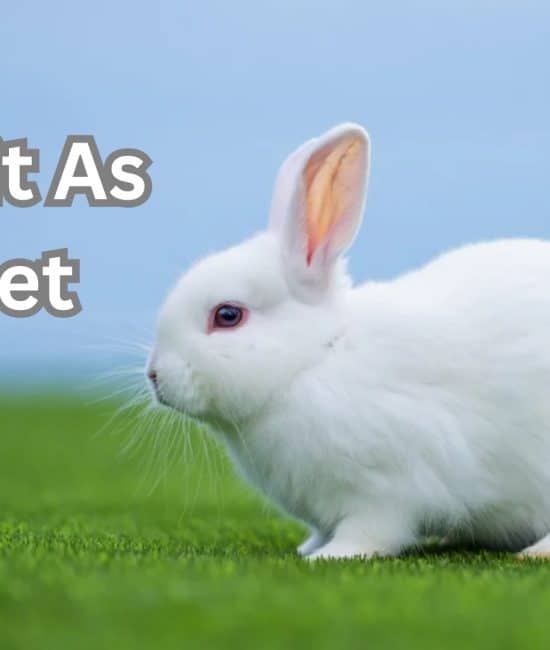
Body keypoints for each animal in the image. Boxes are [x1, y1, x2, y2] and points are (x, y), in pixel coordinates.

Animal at [148, 123, 550, 560]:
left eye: (227, 316)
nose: (155, 376)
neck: (315, 358)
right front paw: (307, 548)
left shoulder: (387, 487)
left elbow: (372, 531)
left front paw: (329, 556)